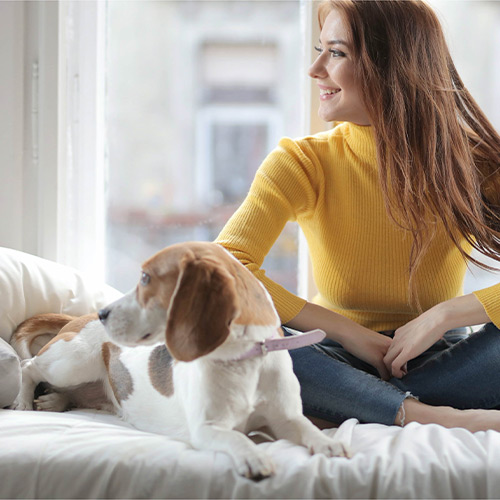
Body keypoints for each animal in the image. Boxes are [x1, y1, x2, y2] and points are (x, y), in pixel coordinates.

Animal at [9, 241, 350, 476]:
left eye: (145, 278)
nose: (104, 313)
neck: (245, 361)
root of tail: (80, 317)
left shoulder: (285, 417)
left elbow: (307, 428)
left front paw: (329, 443)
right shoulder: (207, 428)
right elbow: (239, 440)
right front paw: (254, 456)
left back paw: (54, 401)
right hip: (73, 363)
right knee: (29, 367)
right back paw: (24, 401)